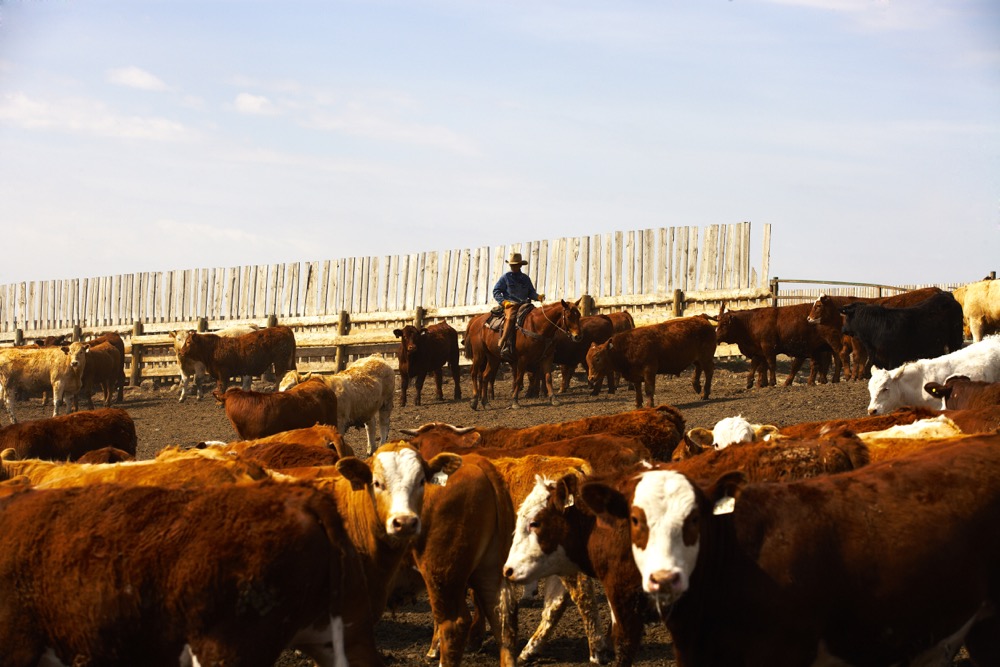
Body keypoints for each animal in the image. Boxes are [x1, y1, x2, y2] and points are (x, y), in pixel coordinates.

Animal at [586, 314, 716, 408]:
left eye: (597, 358)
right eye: (587, 360)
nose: (591, 378)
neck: (627, 347)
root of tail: (700, 317)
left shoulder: (649, 370)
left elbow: (648, 389)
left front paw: (649, 405)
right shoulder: (635, 374)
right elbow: (638, 388)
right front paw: (638, 404)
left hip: (706, 358)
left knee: (709, 372)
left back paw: (705, 393)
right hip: (698, 358)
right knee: (699, 368)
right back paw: (696, 386)